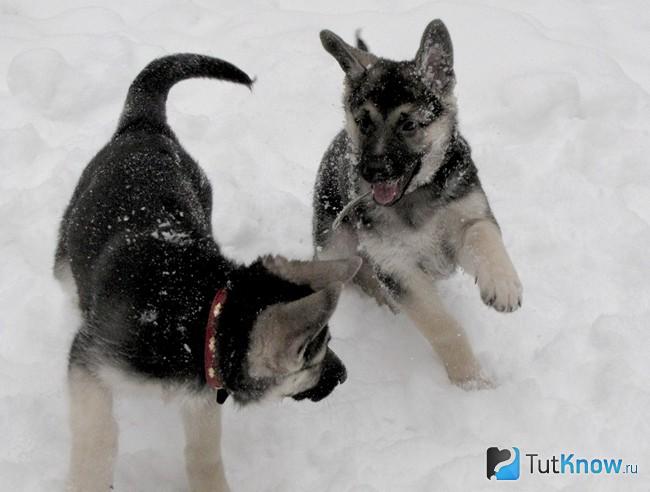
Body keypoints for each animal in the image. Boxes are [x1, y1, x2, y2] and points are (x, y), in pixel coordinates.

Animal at [54, 53, 360, 492]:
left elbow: (203, 450)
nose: (345, 375)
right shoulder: (89, 362)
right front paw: (89, 478)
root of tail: (145, 125)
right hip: (65, 256)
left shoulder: (201, 392)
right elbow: (98, 434)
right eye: (312, 356)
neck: (199, 314)